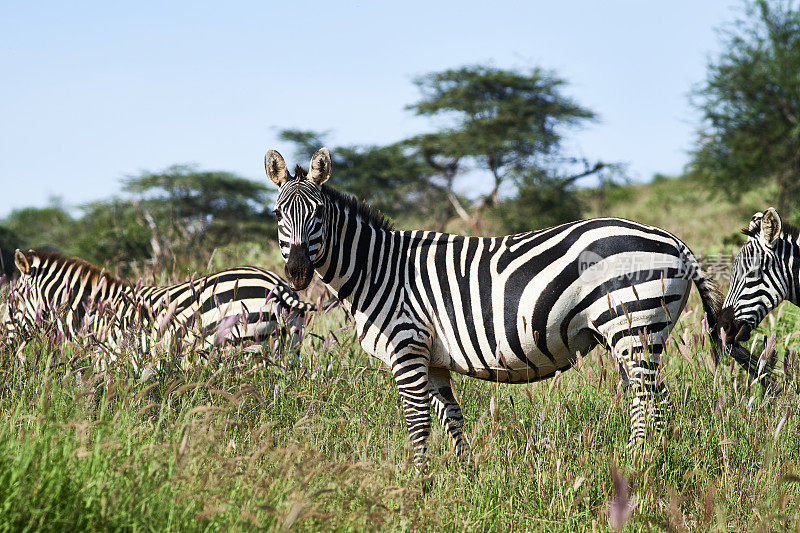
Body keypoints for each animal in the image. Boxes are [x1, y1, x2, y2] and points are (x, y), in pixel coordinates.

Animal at [2, 248, 316, 366]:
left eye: (11, 299)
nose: (3, 345)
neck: (97, 314)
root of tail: (277, 284)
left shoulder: (113, 359)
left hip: (243, 349)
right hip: (288, 350)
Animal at [268, 148, 752, 468]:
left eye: (317, 214)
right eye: (277, 215)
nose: (297, 271)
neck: (379, 271)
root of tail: (676, 241)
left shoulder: (407, 349)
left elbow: (417, 424)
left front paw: (417, 485)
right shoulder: (434, 359)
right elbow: (452, 421)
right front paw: (464, 480)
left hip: (635, 326)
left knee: (651, 401)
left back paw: (639, 467)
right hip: (634, 335)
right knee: (650, 399)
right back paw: (648, 462)